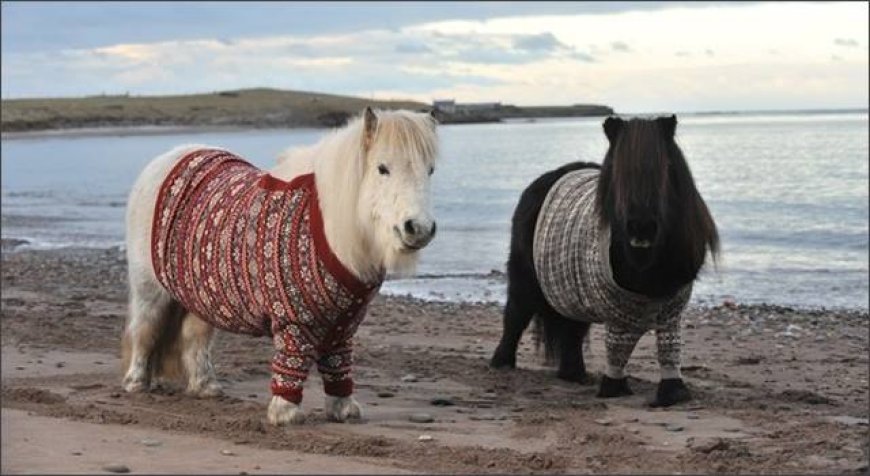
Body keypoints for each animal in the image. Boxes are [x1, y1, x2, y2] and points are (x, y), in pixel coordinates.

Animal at [121, 108, 439, 425]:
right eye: (382, 168)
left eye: (430, 170)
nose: (419, 229)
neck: (327, 225)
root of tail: (168, 158)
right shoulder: (293, 320)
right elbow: (291, 361)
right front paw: (285, 411)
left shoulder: (343, 324)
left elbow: (338, 363)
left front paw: (343, 408)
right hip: (149, 289)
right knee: (145, 329)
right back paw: (136, 382)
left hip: (201, 295)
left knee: (194, 336)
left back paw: (205, 386)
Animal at [490, 115, 719, 407]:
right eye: (618, 171)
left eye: (667, 167)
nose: (642, 227)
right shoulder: (617, 315)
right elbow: (617, 349)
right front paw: (613, 387)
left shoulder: (671, 309)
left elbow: (669, 348)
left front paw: (673, 393)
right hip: (525, 279)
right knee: (516, 316)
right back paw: (502, 363)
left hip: (572, 293)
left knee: (572, 330)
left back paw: (573, 374)